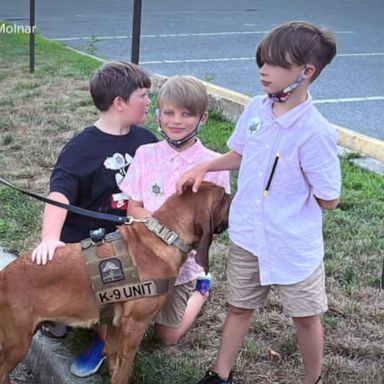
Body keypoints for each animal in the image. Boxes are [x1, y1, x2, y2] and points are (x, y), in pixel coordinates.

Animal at [0, 183, 231, 384]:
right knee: (2, 372)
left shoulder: (113, 320)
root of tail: (3, 276)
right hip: (18, 343)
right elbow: (124, 369)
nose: (236, 198)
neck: (165, 237)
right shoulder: (134, 326)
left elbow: (112, 357)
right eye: (224, 197)